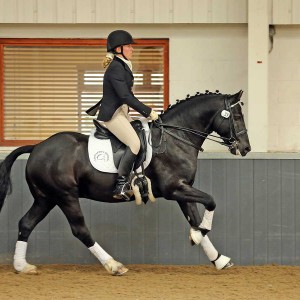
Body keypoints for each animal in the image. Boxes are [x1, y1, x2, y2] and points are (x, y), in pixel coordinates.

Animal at [0, 90, 251, 276]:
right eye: (237, 117)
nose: (246, 148)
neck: (175, 138)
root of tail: (37, 146)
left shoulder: (183, 188)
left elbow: (196, 219)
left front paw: (217, 258)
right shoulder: (174, 189)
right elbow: (211, 201)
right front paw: (200, 236)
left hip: (46, 198)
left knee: (26, 223)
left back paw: (22, 266)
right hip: (65, 196)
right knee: (80, 229)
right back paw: (114, 265)